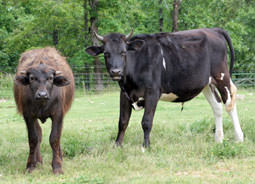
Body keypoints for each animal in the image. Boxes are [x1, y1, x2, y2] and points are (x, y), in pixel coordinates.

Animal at [85, 28, 243, 147]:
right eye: (106, 53)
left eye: (123, 52)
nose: (116, 72)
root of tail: (213, 30)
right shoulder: (124, 94)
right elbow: (122, 121)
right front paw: (117, 145)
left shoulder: (152, 92)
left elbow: (146, 121)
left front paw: (145, 146)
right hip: (206, 83)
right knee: (217, 107)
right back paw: (219, 139)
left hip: (221, 76)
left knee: (229, 104)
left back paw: (239, 137)